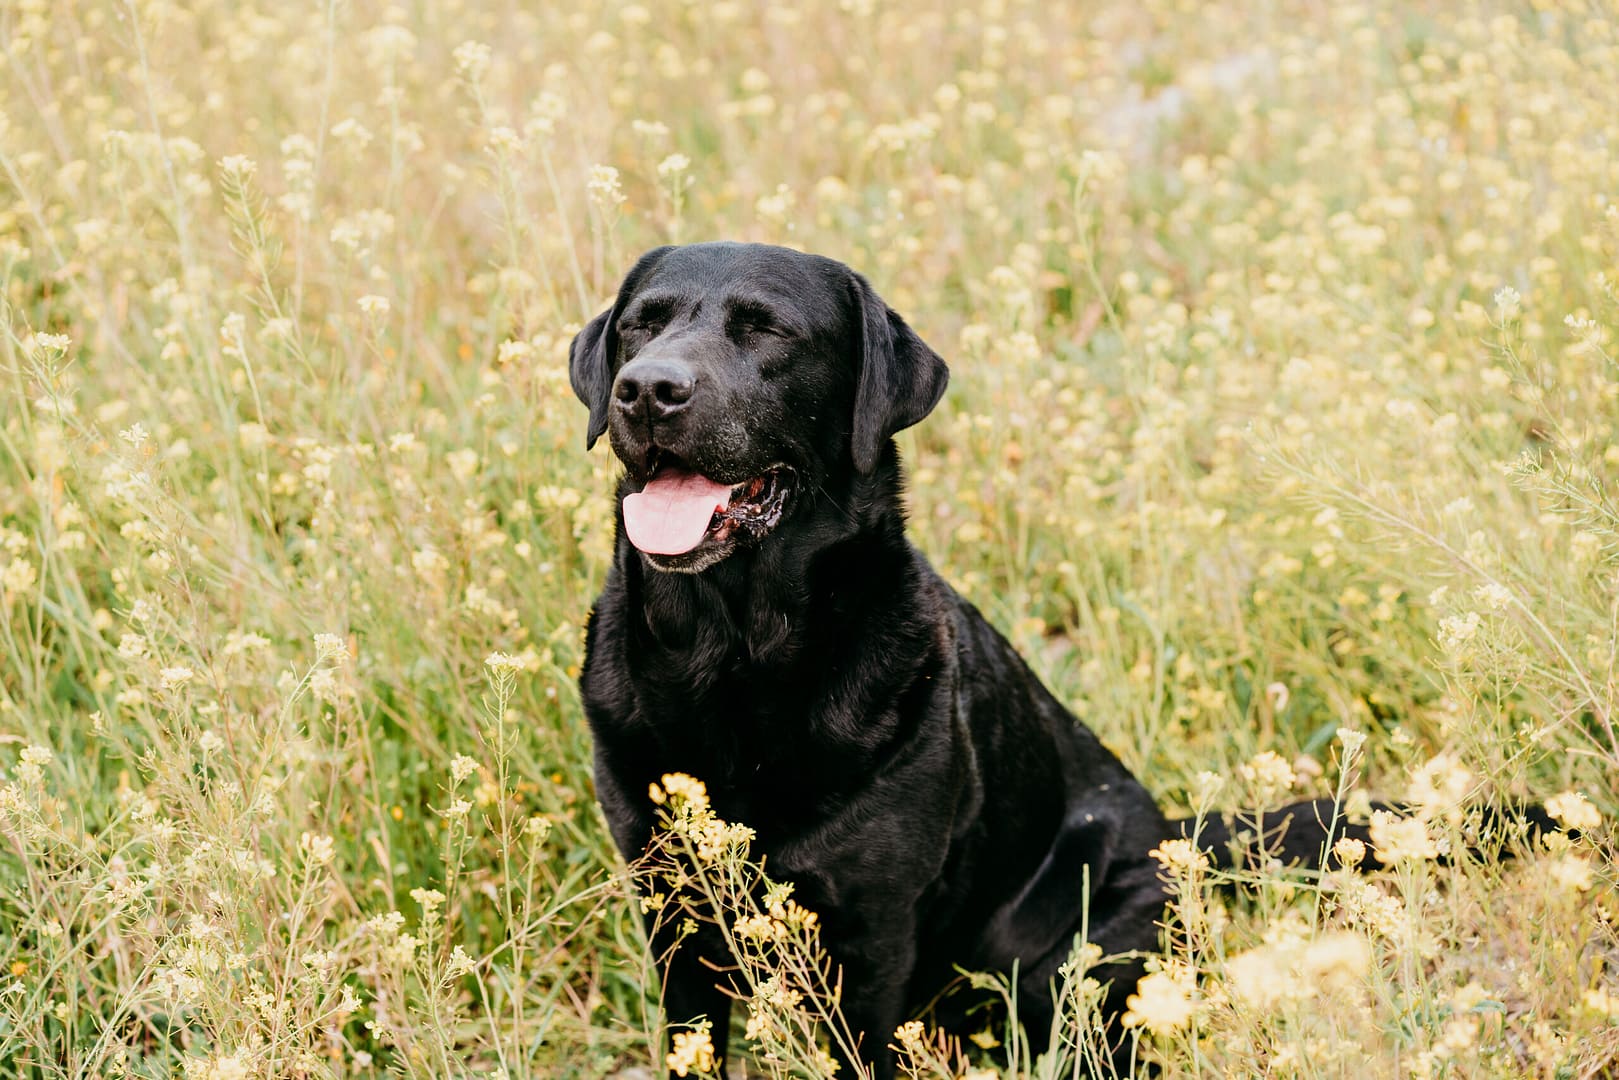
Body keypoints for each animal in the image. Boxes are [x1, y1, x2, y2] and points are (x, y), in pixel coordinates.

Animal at [563, 244, 1495, 1080]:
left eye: (766, 330)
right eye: (640, 325)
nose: (646, 388)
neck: (731, 654)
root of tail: (1178, 838)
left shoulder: (871, 933)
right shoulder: (671, 912)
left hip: (1070, 956)